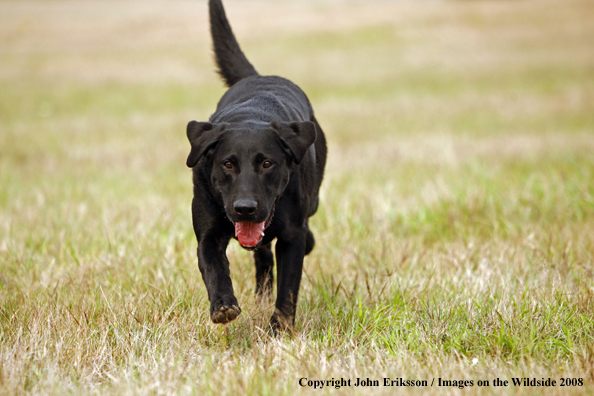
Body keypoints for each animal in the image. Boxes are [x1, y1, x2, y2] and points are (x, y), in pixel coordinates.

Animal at [184, 0, 324, 332]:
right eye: (227, 164)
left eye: (267, 163)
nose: (245, 208)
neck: (252, 114)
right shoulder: (207, 232)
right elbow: (214, 267)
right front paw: (223, 306)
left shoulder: (292, 236)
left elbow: (289, 286)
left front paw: (279, 328)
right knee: (261, 256)